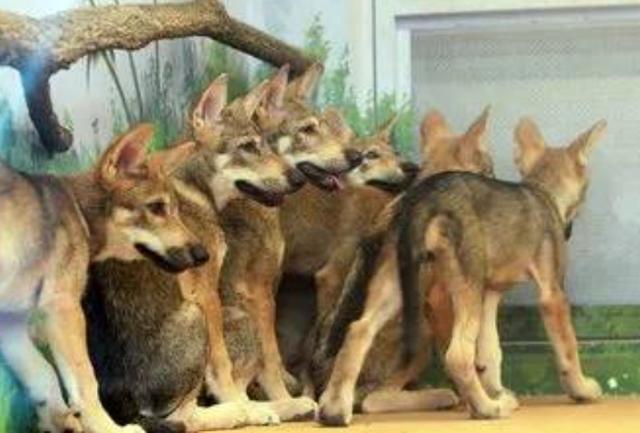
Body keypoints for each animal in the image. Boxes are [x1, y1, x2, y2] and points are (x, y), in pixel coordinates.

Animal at [0, 124, 203, 433]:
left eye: (177, 210)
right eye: (157, 207)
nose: (204, 254)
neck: (79, 212)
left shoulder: (11, 323)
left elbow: (44, 378)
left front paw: (60, 421)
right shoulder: (62, 309)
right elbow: (85, 383)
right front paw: (105, 427)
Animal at [317, 117, 606, 425]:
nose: (570, 230)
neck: (542, 192)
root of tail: (423, 197)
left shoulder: (490, 295)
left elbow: (491, 353)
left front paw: (498, 391)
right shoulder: (552, 294)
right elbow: (568, 348)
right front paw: (582, 389)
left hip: (398, 282)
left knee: (358, 331)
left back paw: (335, 409)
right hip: (460, 289)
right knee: (456, 356)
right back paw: (485, 408)